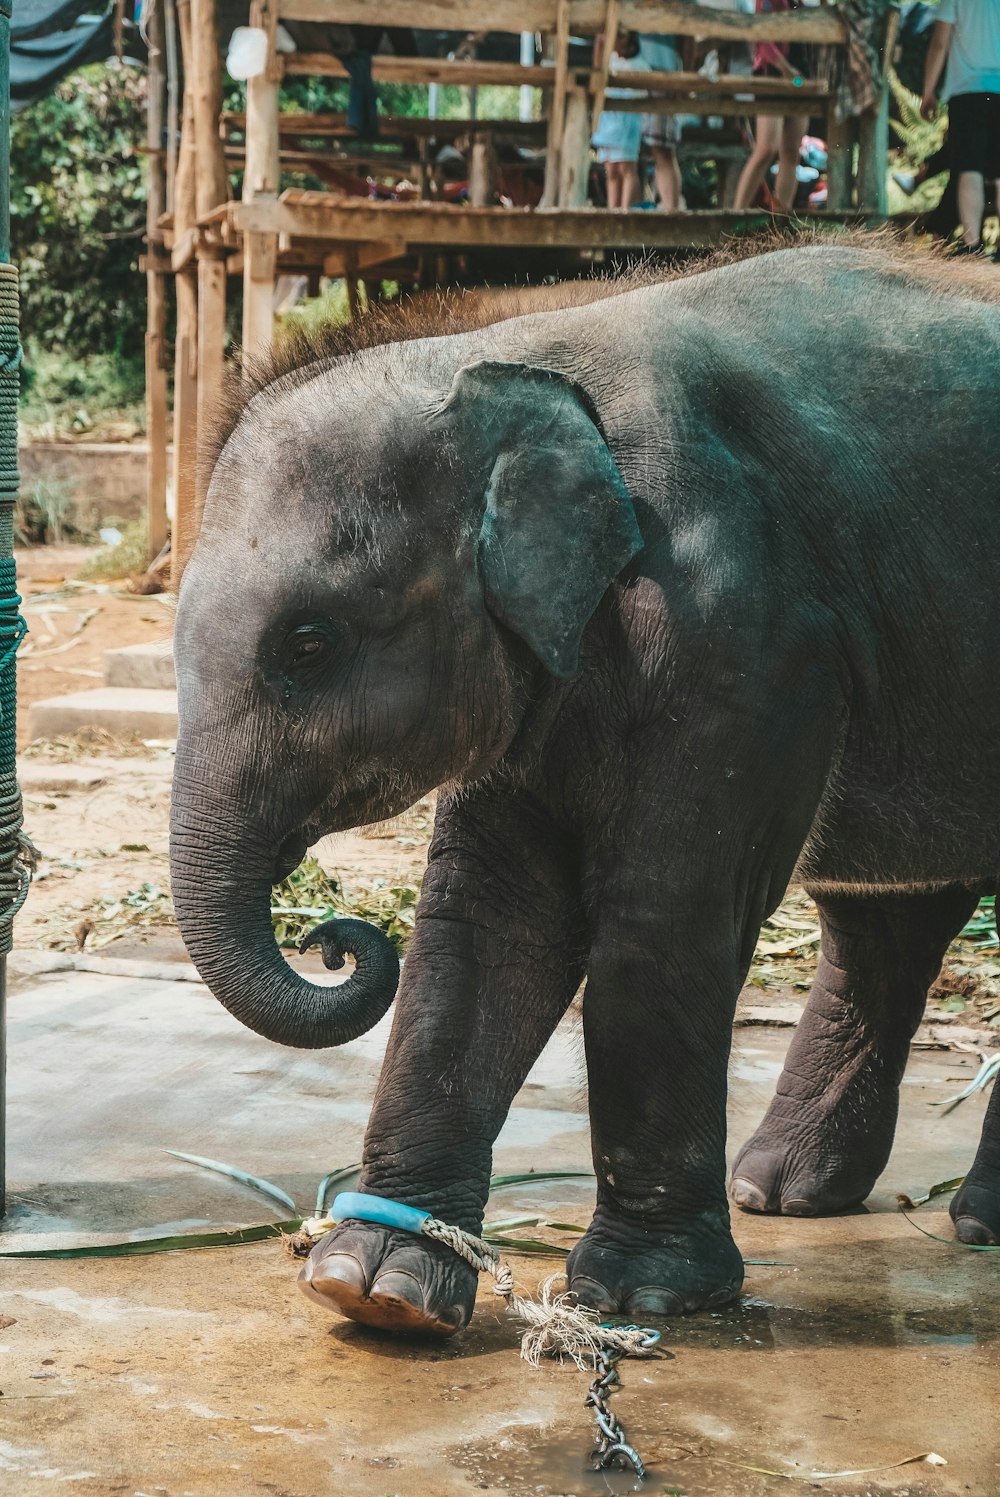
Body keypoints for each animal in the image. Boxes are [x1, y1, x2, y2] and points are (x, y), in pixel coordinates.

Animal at [172, 242, 999, 1335]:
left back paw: (970, 1222)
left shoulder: (740, 633)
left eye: (308, 644)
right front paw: (379, 1285)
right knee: (886, 917)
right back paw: (778, 1193)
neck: (519, 349)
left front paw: (640, 1293)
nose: (336, 941)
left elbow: (661, 914)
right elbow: (491, 916)